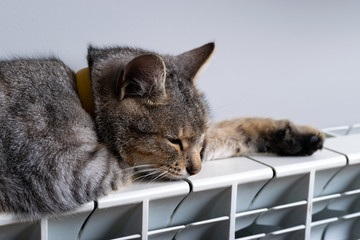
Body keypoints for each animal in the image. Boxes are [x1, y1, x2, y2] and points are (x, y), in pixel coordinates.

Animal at [0, 42, 324, 218]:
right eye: (174, 141)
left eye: (196, 140)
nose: (196, 170)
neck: (82, 100)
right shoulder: (77, 172)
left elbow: (226, 131)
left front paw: (291, 133)